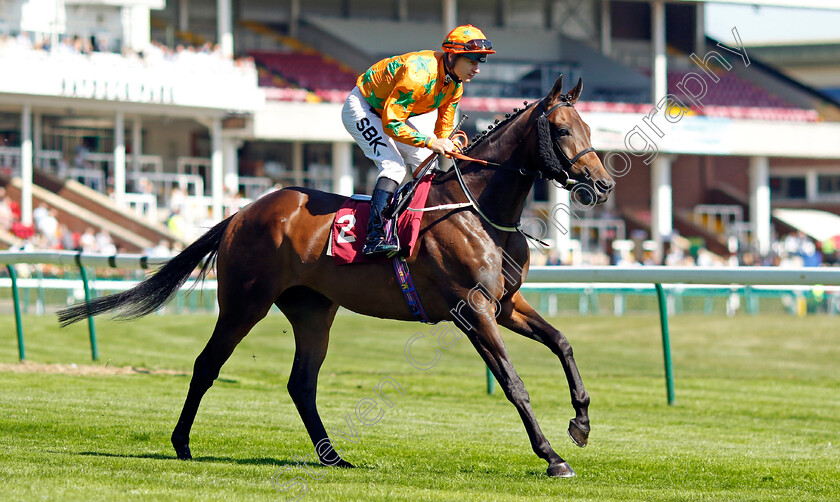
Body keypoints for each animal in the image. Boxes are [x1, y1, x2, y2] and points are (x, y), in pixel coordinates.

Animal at [57, 75, 612, 478]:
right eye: (563, 130)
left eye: (589, 128)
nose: (603, 183)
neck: (477, 209)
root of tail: (241, 213)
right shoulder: (471, 310)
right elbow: (514, 383)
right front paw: (552, 457)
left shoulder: (505, 304)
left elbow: (562, 342)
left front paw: (581, 423)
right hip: (244, 303)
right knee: (207, 364)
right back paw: (182, 443)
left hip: (313, 310)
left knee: (301, 383)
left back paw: (332, 456)